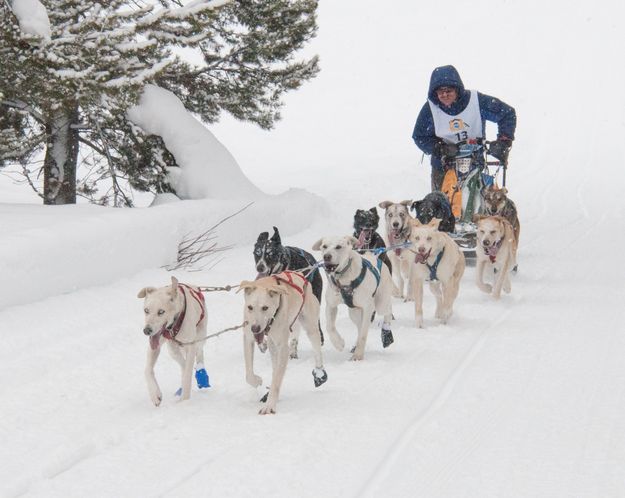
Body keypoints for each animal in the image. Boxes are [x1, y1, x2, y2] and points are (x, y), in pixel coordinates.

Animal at [136, 276, 207, 404]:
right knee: (183, 364)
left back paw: (201, 374)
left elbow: (188, 374)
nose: (146, 330)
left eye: (161, 311)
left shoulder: (191, 345)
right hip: (172, 350)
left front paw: (185, 400)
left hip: (200, 337)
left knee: (199, 354)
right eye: (146, 310)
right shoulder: (154, 346)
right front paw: (155, 395)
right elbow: (147, 370)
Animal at [239, 270, 330, 414]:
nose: (255, 328)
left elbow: (277, 380)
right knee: (275, 366)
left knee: (317, 351)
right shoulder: (248, 339)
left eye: (265, 307)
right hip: (273, 345)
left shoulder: (283, 348)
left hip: (310, 326)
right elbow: (249, 374)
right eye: (250, 307)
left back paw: (320, 374)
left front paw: (270, 406)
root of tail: (300, 275)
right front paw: (257, 380)